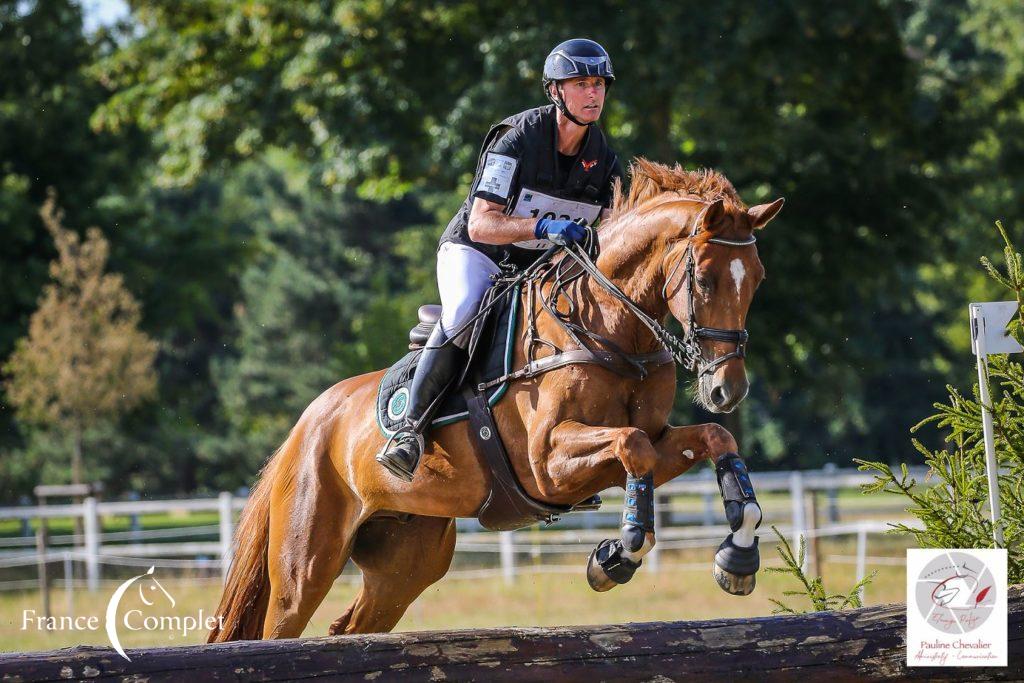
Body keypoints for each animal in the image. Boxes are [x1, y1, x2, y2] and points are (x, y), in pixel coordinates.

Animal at [205, 158, 782, 643]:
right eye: (703, 278)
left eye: (757, 280)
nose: (726, 389)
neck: (608, 328)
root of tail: (304, 426)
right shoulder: (547, 463)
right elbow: (632, 444)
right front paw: (616, 556)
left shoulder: (651, 445)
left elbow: (711, 437)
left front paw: (738, 557)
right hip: (306, 561)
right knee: (278, 626)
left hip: (406, 562)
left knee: (352, 626)